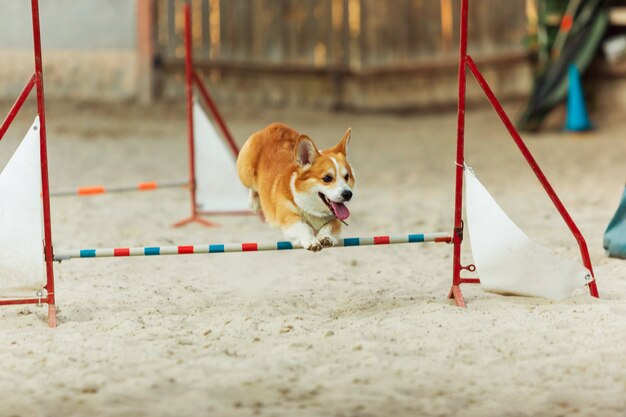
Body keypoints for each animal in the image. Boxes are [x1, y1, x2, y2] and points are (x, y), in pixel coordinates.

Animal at [236, 122, 354, 252]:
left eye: (346, 177)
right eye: (327, 178)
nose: (348, 194)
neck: (314, 210)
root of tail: (273, 126)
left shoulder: (336, 220)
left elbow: (330, 227)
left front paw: (325, 237)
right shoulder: (288, 217)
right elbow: (303, 227)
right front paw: (311, 241)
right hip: (245, 172)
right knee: (252, 188)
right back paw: (254, 203)